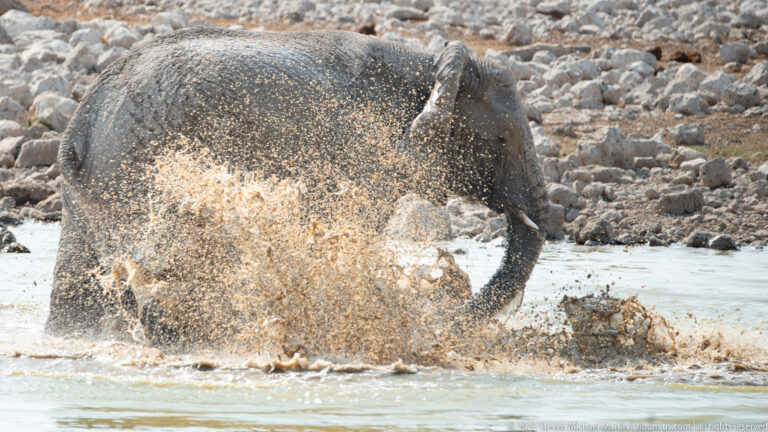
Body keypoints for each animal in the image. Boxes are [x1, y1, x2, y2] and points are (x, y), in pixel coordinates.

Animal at [47, 28, 548, 345]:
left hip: (95, 185)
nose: (445, 319)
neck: (431, 64)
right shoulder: (364, 149)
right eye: (502, 140)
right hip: (137, 164)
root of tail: (80, 122)